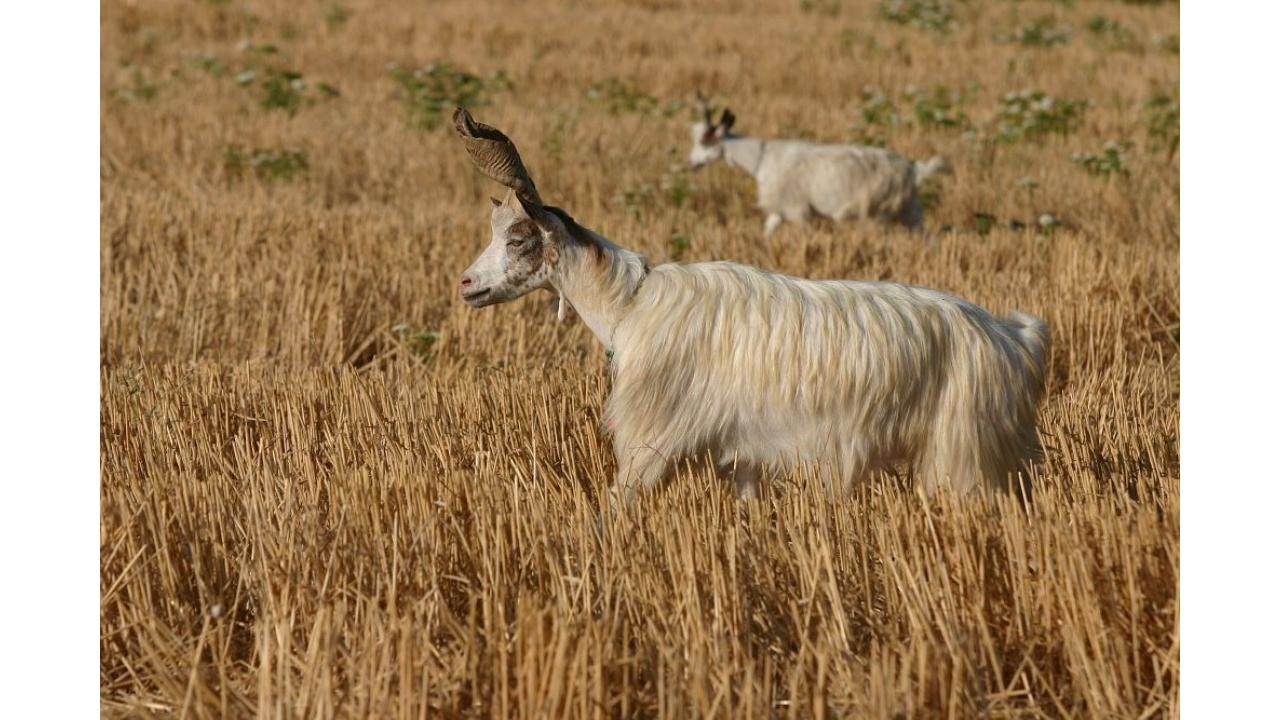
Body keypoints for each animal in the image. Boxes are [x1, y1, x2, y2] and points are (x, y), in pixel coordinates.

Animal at [455, 109, 1044, 507]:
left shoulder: (650, 445)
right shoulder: (746, 458)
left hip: (962, 458)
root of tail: (1010, 337)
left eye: (520, 239)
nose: (465, 284)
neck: (629, 303)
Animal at [691, 92, 952, 235]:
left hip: (881, 213)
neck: (761, 158)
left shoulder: (798, 210)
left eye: (704, 140)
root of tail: (915, 169)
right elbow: (767, 231)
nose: (691, 164)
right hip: (910, 211)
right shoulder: (780, 210)